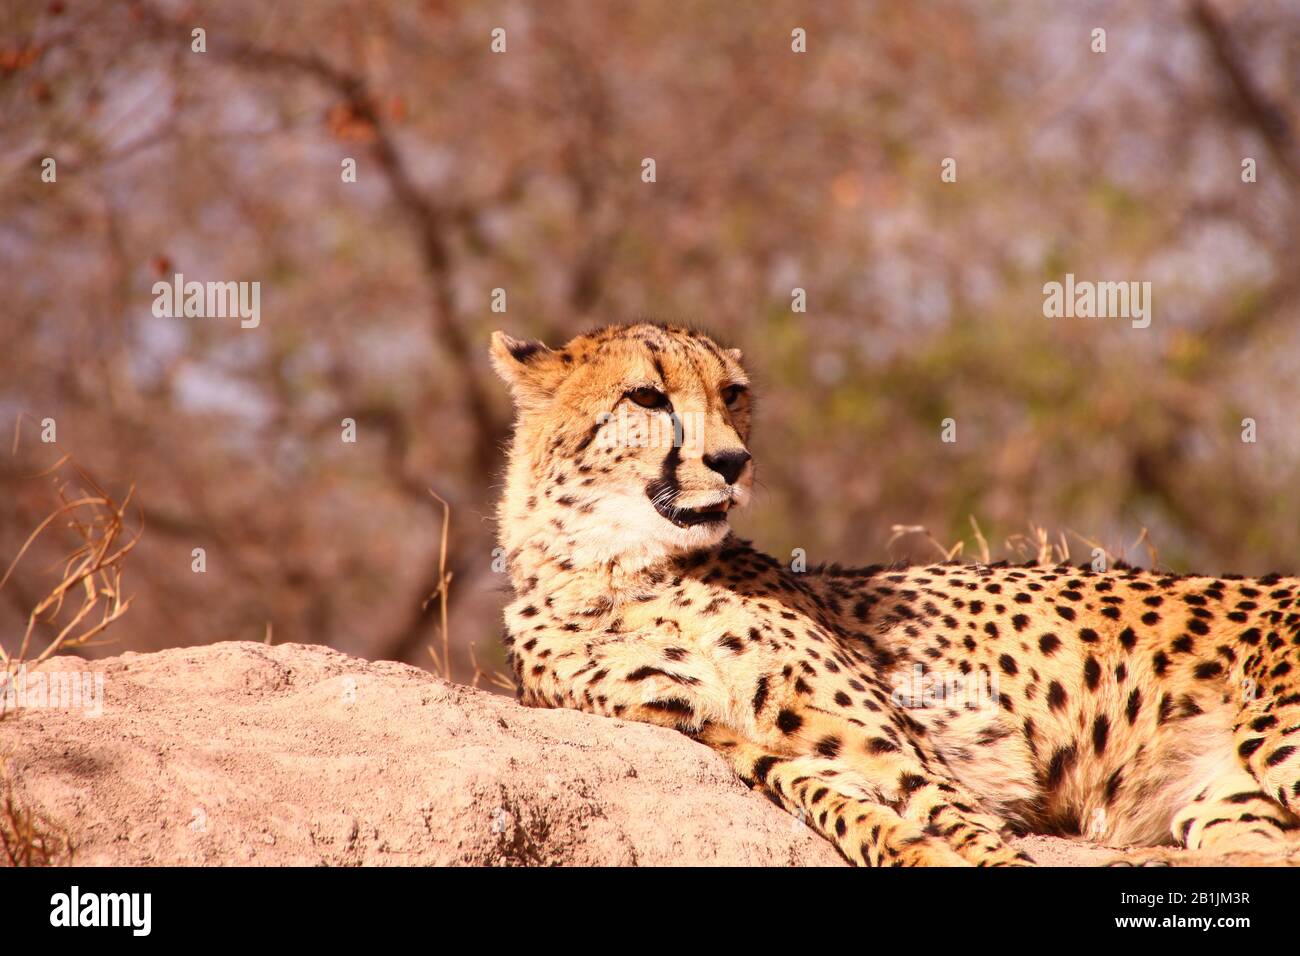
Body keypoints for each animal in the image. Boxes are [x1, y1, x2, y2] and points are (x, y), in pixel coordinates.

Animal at [488, 323, 1300, 868]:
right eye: (647, 396)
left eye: (732, 394)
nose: (731, 461)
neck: (616, 574)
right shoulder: (705, 732)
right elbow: (836, 802)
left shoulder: (898, 746)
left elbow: (966, 825)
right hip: (1222, 801)